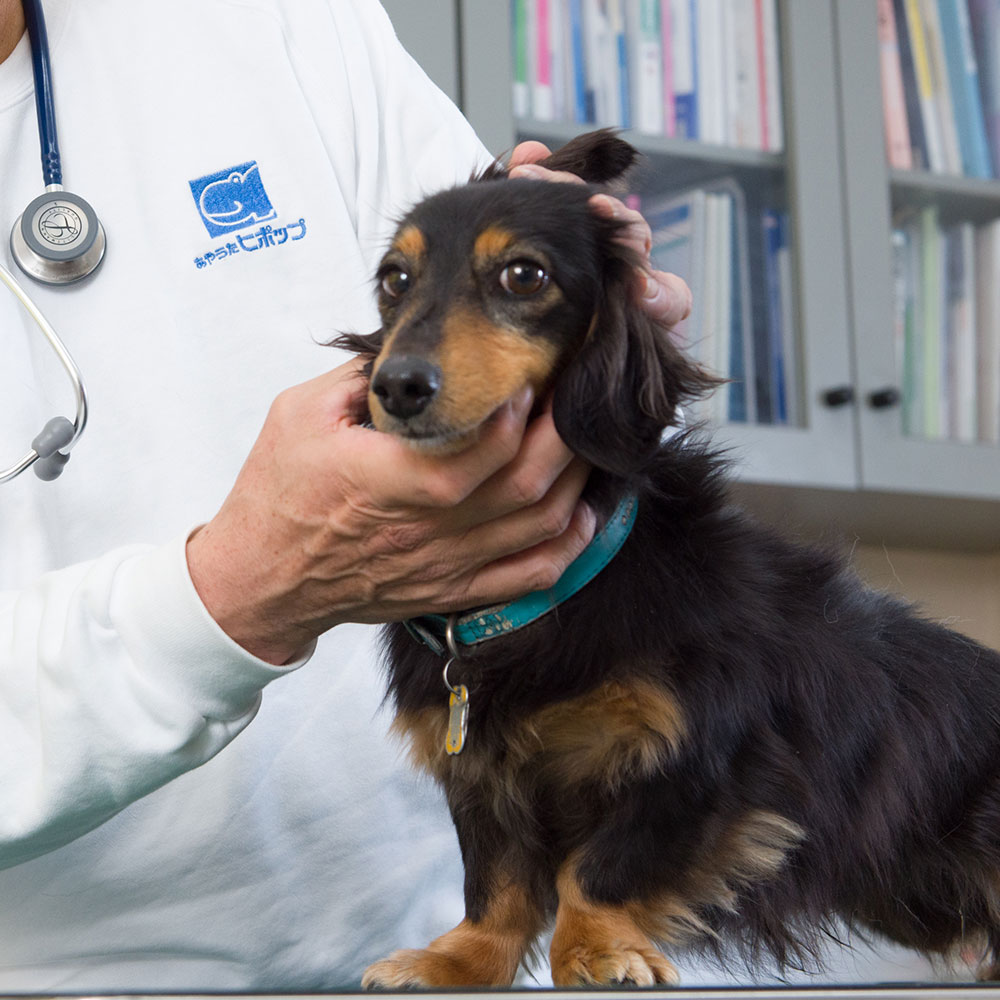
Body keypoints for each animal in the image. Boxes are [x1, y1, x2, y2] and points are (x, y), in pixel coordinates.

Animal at [338, 131, 1000, 984]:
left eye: (525, 275)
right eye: (395, 280)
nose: (398, 386)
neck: (549, 603)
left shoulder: (710, 755)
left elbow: (603, 865)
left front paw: (596, 949)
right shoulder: (478, 771)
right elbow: (497, 878)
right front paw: (460, 958)